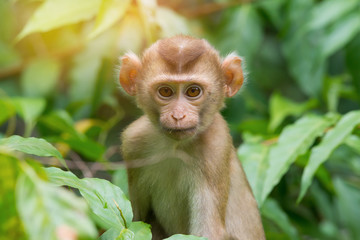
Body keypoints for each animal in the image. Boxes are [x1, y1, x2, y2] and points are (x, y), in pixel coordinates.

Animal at [118, 35, 264, 240]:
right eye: (165, 91)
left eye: (193, 91)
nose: (178, 116)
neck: (175, 147)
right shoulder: (134, 142)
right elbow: (136, 218)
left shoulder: (215, 147)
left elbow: (209, 231)